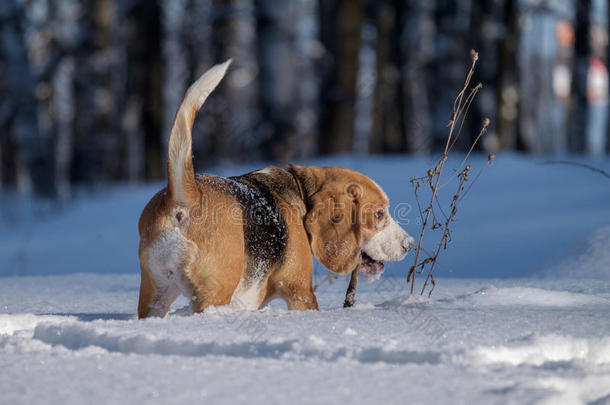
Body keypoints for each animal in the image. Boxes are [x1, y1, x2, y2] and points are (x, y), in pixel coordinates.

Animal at [137, 60, 414, 318]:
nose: (409, 244)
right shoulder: (300, 291)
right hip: (213, 294)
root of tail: (187, 196)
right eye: (379, 214)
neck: (299, 192)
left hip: (154, 294)